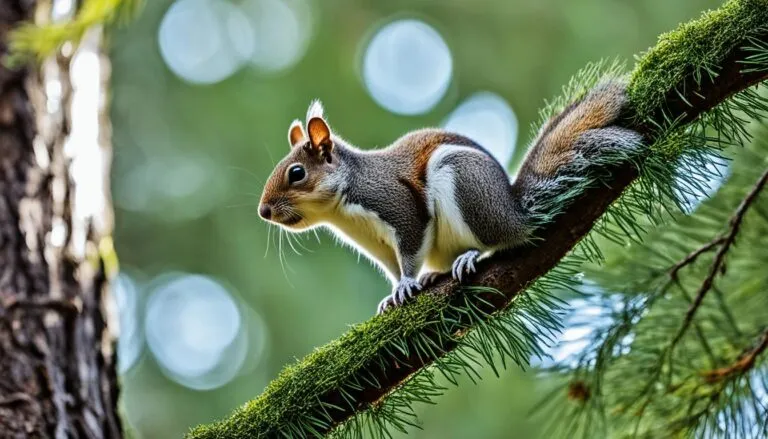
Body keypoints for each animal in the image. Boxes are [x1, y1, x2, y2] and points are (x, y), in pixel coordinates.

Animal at [258, 81, 643, 314]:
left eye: (296, 173)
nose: (263, 211)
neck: (342, 210)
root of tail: (515, 211)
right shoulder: (377, 246)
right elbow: (393, 267)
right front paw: (394, 293)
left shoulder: (396, 205)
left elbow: (410, 249)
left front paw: (407, 284)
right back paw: (435, 275)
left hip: (466, 183)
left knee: (500, 241)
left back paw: (470, 256)